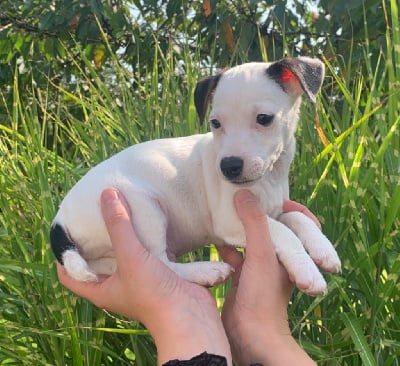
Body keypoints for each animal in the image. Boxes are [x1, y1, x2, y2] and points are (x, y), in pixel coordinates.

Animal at [50, 58, 340, 298]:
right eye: (215, 123)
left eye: (264, 119)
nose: (229, 166)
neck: (269, 178)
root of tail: (59, 220)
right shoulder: (232, 221)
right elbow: (284, 232)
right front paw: (307, 271)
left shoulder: (275, 210)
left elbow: (299, 218)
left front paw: (324, 250)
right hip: (144, 209)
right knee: (161, 263)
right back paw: (205, 271)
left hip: (105, 253)